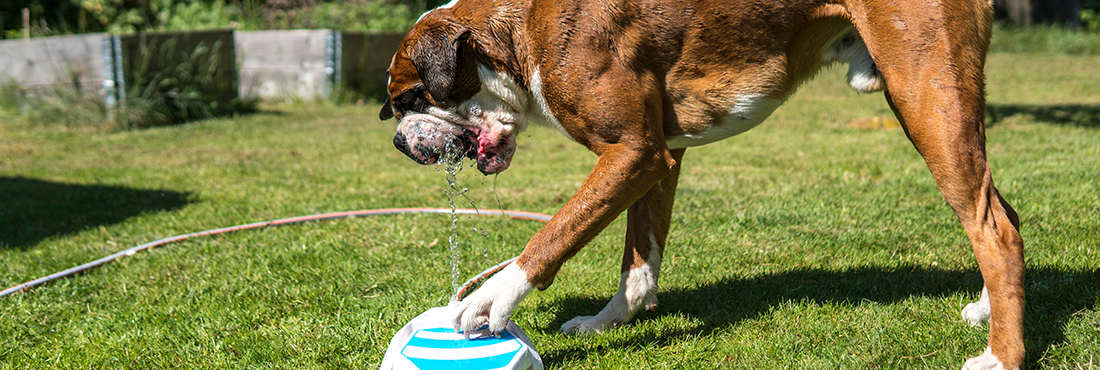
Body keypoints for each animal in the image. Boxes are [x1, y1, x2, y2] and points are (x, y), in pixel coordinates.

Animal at [382, 0, 1025, 367]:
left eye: (407, 98)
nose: (397, 143)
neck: (513, 35)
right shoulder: (656, 158)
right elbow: (638, 260)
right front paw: (611, 320)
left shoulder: (632, 155)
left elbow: (554, 235)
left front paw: (494, 296)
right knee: (999, 213)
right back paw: (988, 309)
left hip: (926, 98)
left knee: (995, 229)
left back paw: (1000, 356)